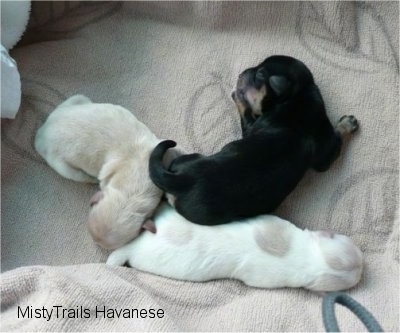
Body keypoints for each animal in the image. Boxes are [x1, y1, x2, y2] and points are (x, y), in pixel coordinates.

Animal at [149, 54, 360, 224]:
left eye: (259, 74)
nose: (242, 73)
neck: (299, 95)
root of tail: (183, 180)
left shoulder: (324, 158)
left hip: (189, 161)